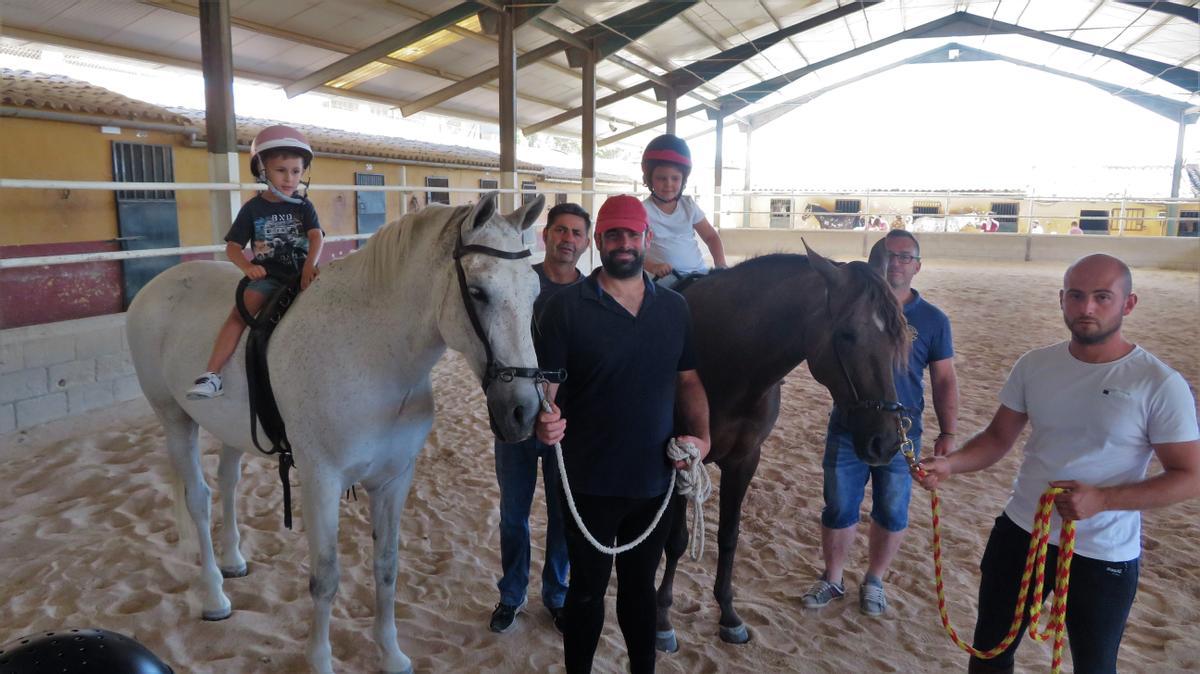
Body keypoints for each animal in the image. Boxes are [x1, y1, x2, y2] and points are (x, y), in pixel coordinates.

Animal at [125, 190, 544, 671]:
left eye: (535, 291)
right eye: (478, 291)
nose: (523, 411)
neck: (371, 356)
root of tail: (158, 283)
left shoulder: (394, 480)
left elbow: (387, 565)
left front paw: (391, 654)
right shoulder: (320, 481)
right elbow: (325, 578)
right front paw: (321, 659)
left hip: (232, 432)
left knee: (227, 483)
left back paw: (233, 561)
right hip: (175, 420)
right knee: (198, 498)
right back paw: (214, 595)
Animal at [657, 238, 907, 647]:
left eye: (900, 337)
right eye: (847, 334)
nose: (884, 441)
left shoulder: (744, 460)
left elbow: (729, 536)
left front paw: (728, 616)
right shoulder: (681, 460)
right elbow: (677, 539)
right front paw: (662, 619)